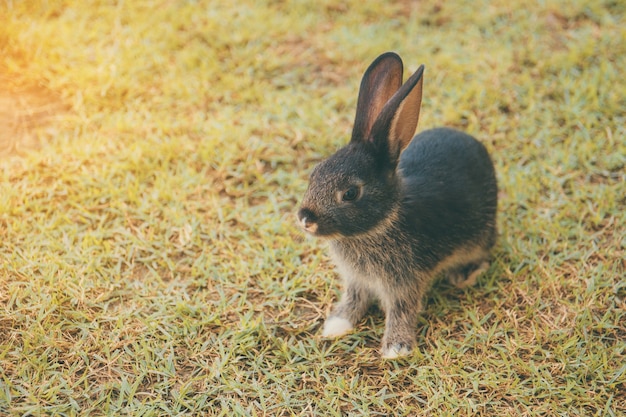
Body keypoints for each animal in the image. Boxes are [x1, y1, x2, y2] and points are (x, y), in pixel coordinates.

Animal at [294, 52, 494, 358]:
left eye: (350, 193)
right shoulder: (357, 280)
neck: (379, 224)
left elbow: (402, 310)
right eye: (315, 173)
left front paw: (396, 348)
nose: (305, 219)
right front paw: (337, 325)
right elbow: (353, 299)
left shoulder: (404, 283)